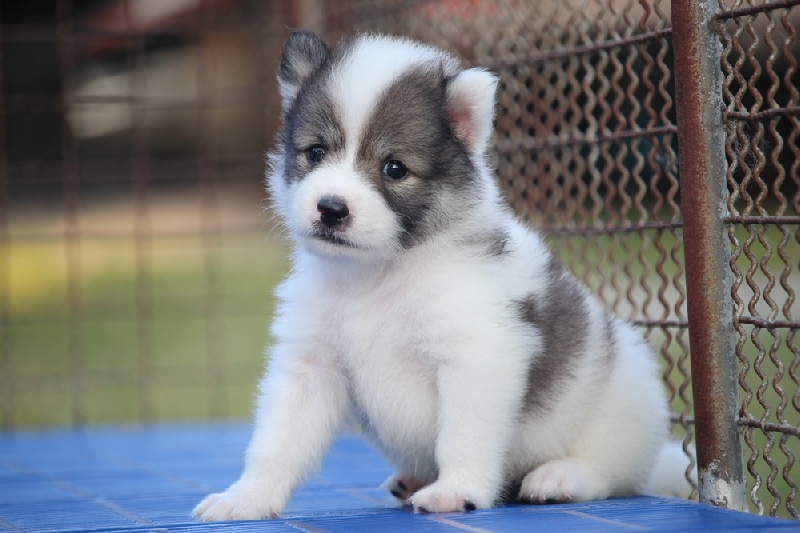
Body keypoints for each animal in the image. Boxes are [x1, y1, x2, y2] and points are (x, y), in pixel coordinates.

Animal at [192, 30, 691, 521]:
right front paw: (248, 497)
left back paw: (560, 477)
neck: (379, 274)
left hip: (622, 401)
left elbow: (465, 434)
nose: (331, 208)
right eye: (315, 152)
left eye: (394, 168)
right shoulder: (311, 364)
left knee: (616, 471)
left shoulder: (476, 355)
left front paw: (457, 489)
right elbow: (277, 442)